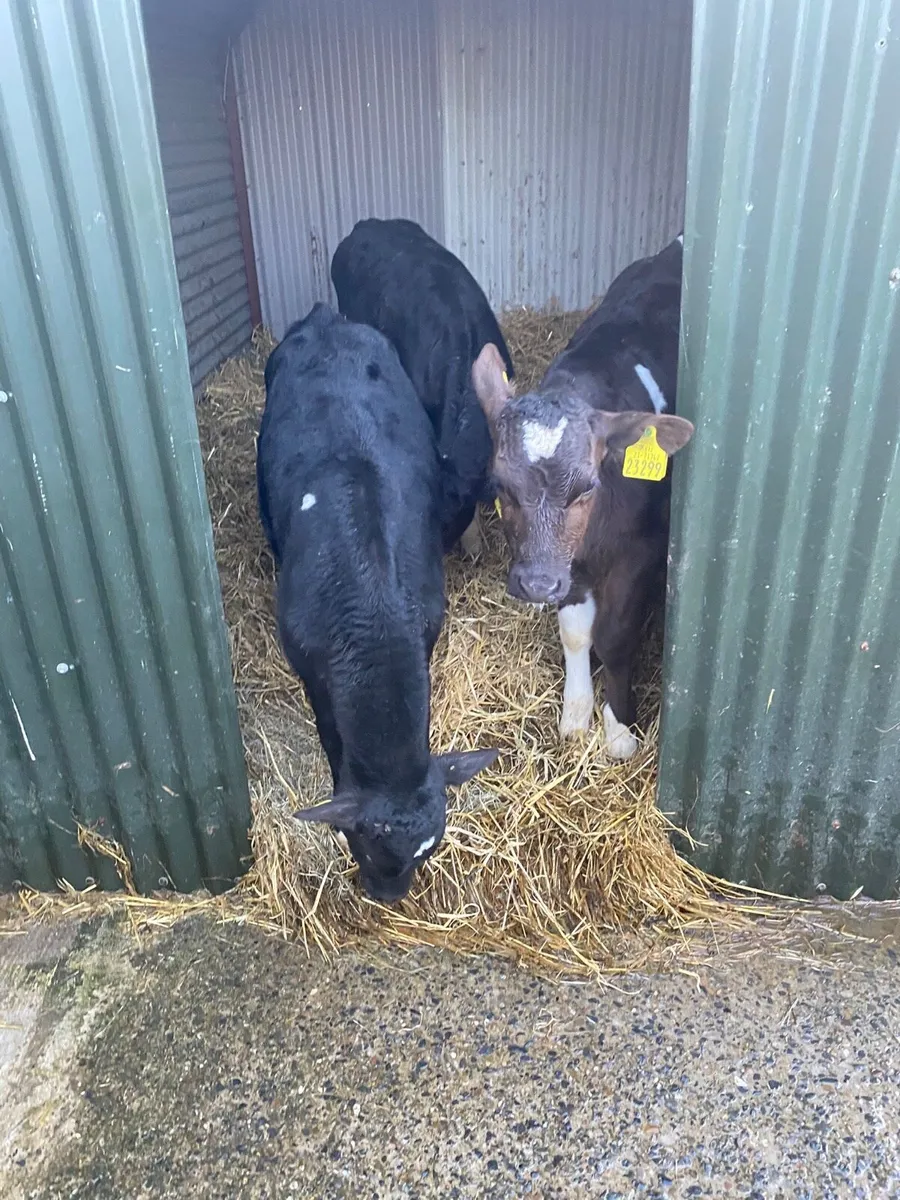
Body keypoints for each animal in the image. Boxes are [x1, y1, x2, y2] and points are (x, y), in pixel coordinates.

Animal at [256, 302, 499, 901]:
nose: (387, 898)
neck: (374, 612)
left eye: (429, 849)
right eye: (364, 843)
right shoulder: (310, 668)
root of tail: (325, 319)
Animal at [471, 234, 694, 761]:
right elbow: (575, 631)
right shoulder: (567, 565)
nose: (535, 584)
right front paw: (576, 714)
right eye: (500, 486)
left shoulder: (639, 553)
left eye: (587, 487)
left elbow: (613, 636)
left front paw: (619, 731)